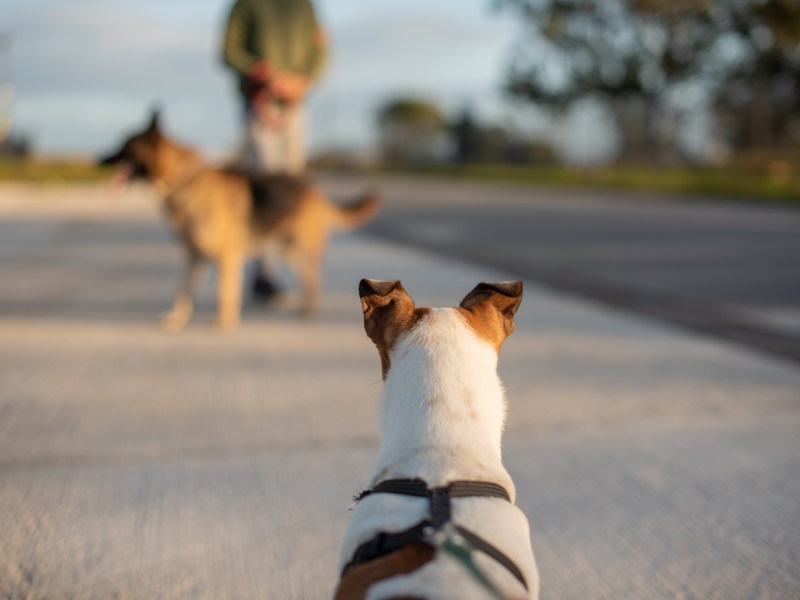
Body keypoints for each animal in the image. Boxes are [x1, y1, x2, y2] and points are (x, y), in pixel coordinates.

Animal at [98, 110, 380, 330]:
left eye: (126, 145)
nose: (98, 160)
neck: (185, 180)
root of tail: (314, 190)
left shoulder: (226, 255)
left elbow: (224, 290)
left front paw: (224, 323)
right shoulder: (194, 257)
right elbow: (183, 291)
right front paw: (178, 319)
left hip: (299, 247)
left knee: (314, 279)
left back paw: (307, 312)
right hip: (288, 250)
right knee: (308, 279)